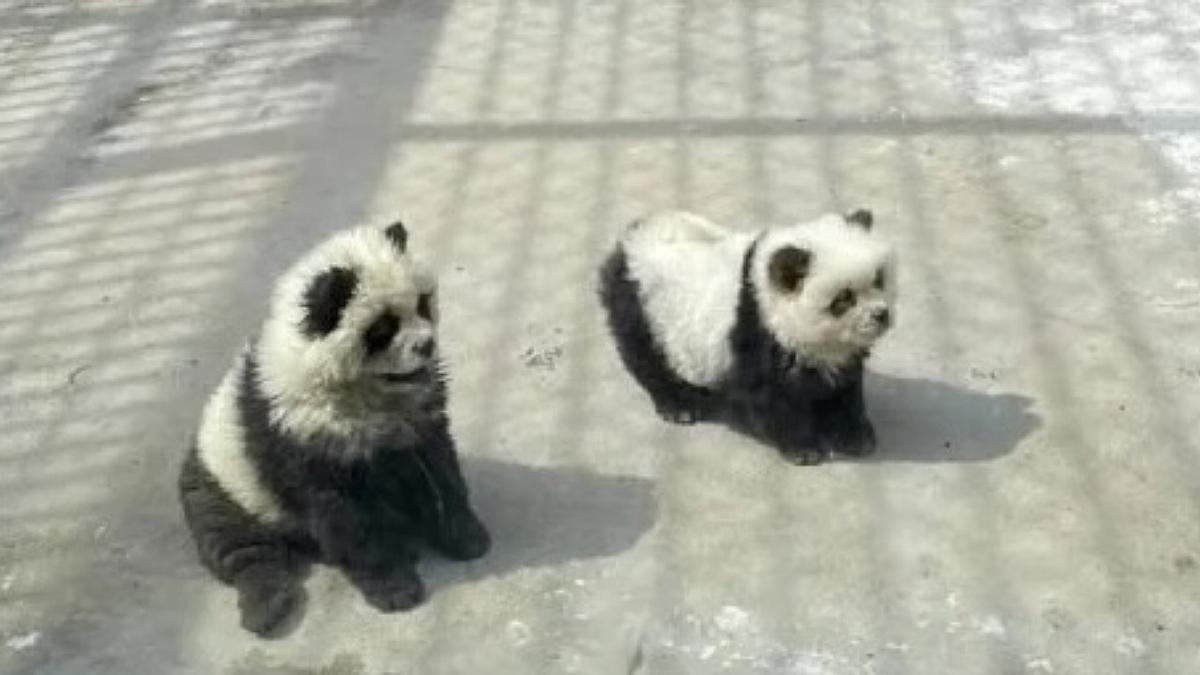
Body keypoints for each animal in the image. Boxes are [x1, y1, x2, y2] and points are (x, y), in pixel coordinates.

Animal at [178, 221, 491, 637]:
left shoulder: (418, 419)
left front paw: (466, 536)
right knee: (239, 548)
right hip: (224, 486)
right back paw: (267, 606)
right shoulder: (300, 436)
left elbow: (440, 470)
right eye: (382, 329)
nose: (426, 345)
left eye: (423, 303)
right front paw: (394, 588)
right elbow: (346, 518)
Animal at [599, 209, 896, 465]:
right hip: (643, 311)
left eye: (879, 280)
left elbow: (844, 389)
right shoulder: (758, 336)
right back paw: (678, 406)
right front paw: (803, 449)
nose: (882, 315)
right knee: (648, 361)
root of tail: (629, 243)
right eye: (844, 298)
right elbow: (772, 396)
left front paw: (856, 438)